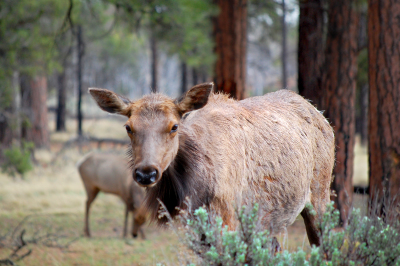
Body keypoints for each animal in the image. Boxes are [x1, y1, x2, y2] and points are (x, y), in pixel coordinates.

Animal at [89, 82, 336, 245]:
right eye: (128, 127)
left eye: (174, 126)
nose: (146, 173)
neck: (193, 189)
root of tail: (320, 114)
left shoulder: (227, 220)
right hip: (271, 221)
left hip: (320, 196)